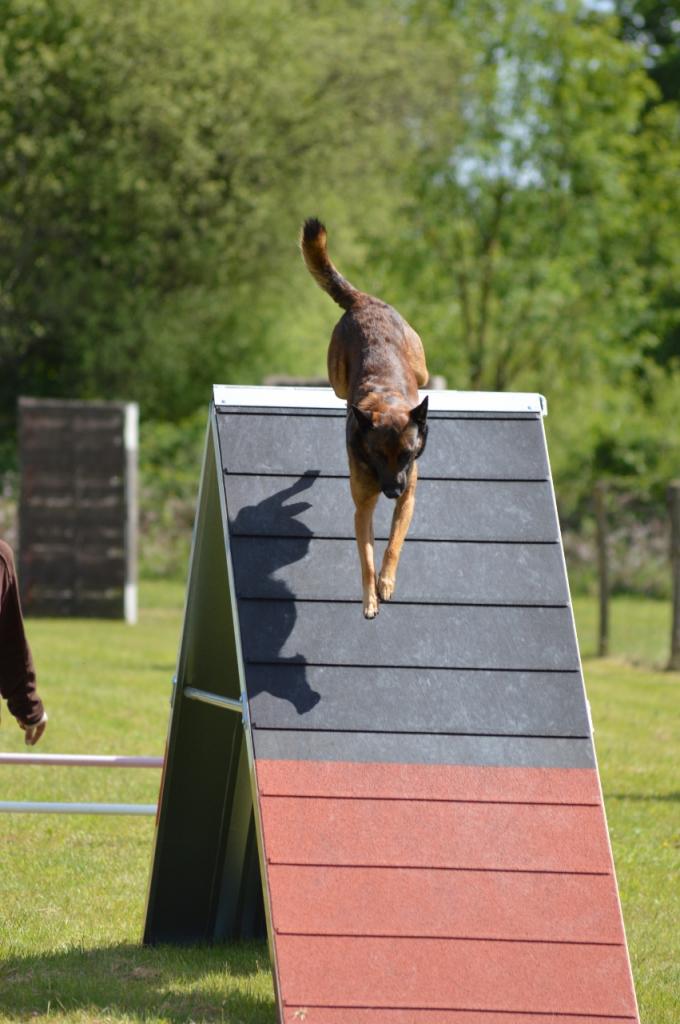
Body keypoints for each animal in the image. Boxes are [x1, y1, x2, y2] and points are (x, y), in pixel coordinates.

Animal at [301, 217, 428, 614]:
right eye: (376, 455)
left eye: (407, 454)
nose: (392, 489)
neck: (385, 402)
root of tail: (364, 301)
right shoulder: (363, 507)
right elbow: (367, 556)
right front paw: (370, 598)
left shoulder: (409, 499)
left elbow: (394, 544)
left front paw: (386, 582)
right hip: (338, 379)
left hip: (421, 368)